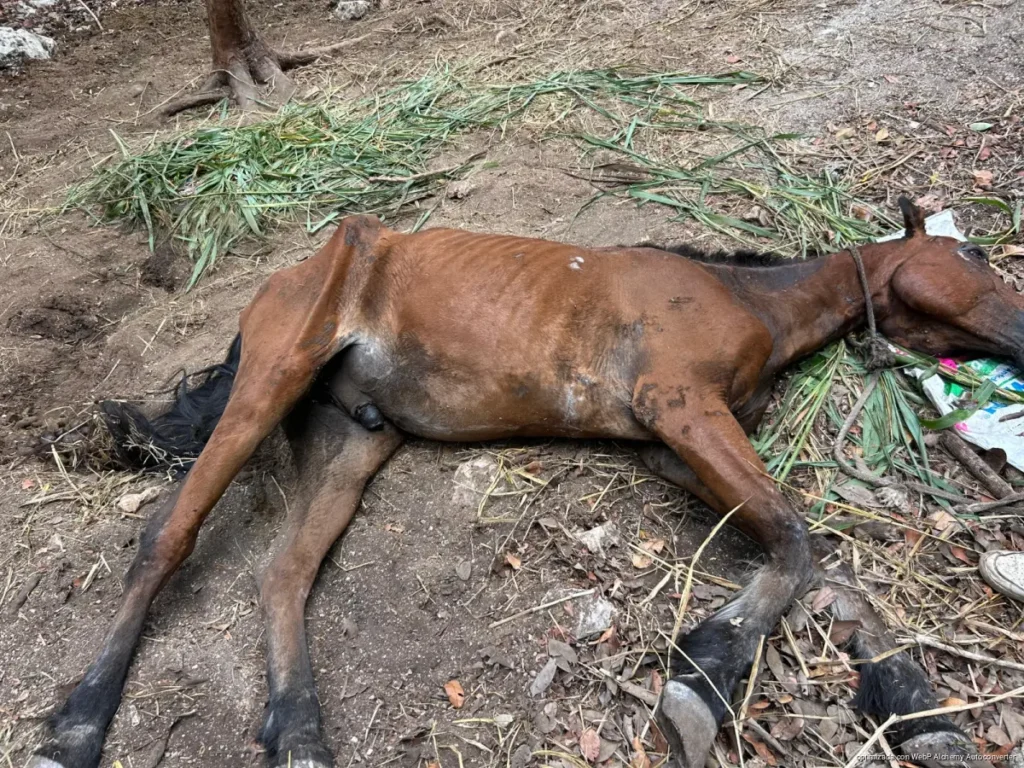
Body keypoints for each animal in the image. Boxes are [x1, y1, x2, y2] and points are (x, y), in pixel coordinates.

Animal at [31, 198, 1023, 768]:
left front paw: (919, 710)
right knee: (168, 536)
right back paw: (77, 725)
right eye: (974, 258)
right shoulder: (678, 407)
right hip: (273, 377)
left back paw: (302, 734)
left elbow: (812, 554)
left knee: (284, 572)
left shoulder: (674, 445)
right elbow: (794, 537)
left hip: (351, 439)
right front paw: (702, 679)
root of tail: (283, 280)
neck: (746, 300)